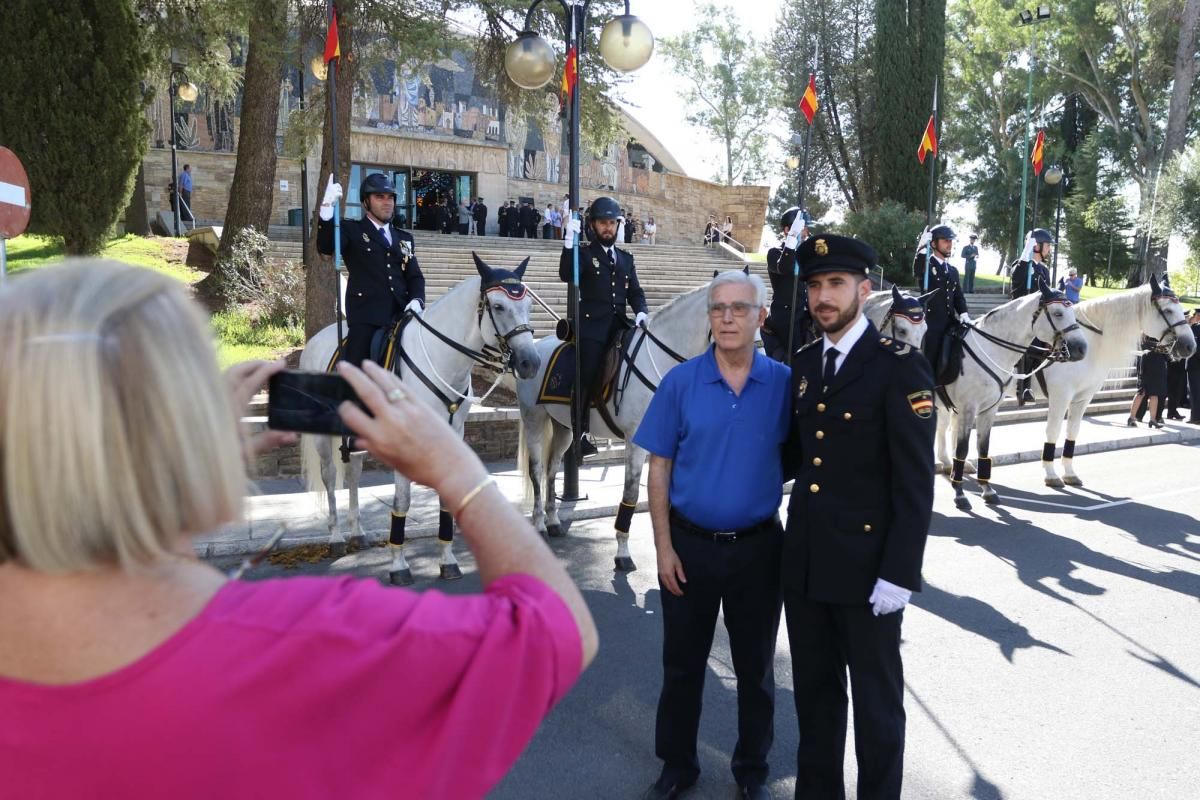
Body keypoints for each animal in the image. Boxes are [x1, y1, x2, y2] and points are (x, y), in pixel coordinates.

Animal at [297, 253, 542, 585]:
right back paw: (335, 537)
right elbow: (402, 501)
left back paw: (357, 532)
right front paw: (399, 564)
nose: (531, 363)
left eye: (529, 304)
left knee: (353, 475)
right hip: (322, 436)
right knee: (330, 476)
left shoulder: (453, 434)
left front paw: (448, 560)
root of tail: (314, 341)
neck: (442, 360)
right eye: (499, 306)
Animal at [513, 278, 710, 573]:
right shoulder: (635, 441)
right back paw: (538, 525)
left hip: (564, 428)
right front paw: (623, 552)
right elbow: (631, 492)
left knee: (551, 468)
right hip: (534, 418)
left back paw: (553, 521)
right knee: (536, 470)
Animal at [931, 281, 1094, 510]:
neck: (991, 350)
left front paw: (987, 489)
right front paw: (959, 493)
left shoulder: (989, 410)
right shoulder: (967, 408)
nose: (1081, 348)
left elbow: (983, 447)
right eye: (1058, 313)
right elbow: (962, 449)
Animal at [1036, 275, 1195, 489]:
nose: (1190, 346)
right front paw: (1051, 474)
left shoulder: (1082, 398)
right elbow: (1053, 431)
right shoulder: (1060, 396)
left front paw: (1069, 473)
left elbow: (1073, 431)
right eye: (1168, 310)